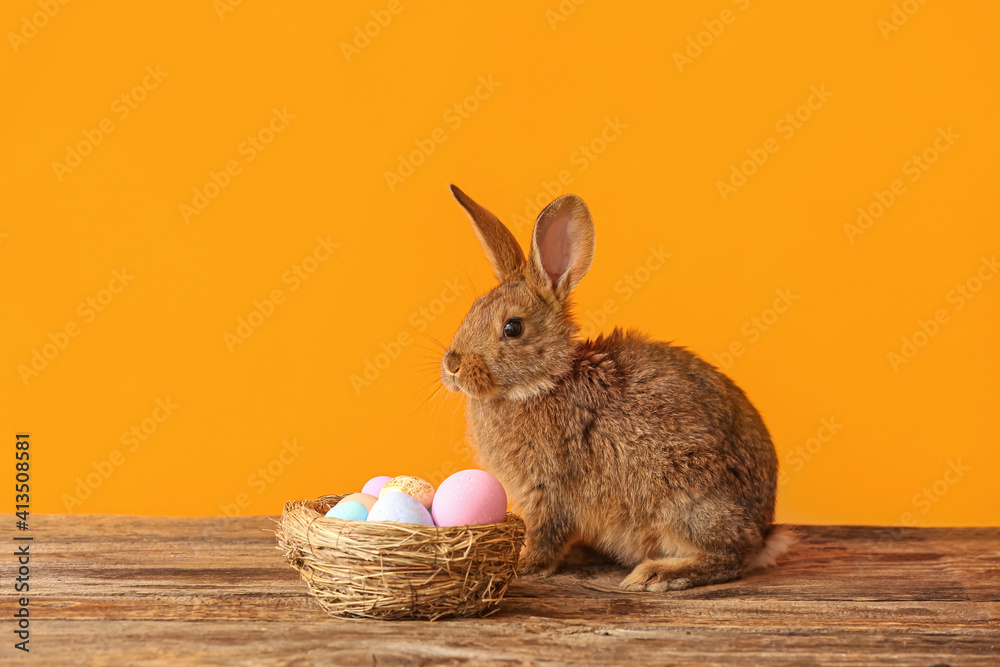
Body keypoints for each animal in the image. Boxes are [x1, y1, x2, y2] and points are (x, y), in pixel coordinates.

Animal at [440, 185, 793, 591]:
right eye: (472, 310)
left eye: (512, 328)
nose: (452, 365)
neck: (546, 381)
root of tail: (764, 530)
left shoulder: (550, 487)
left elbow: (545, 533)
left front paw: (523, 564)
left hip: (681, 498)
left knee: (731, 555)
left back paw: (657, 573)